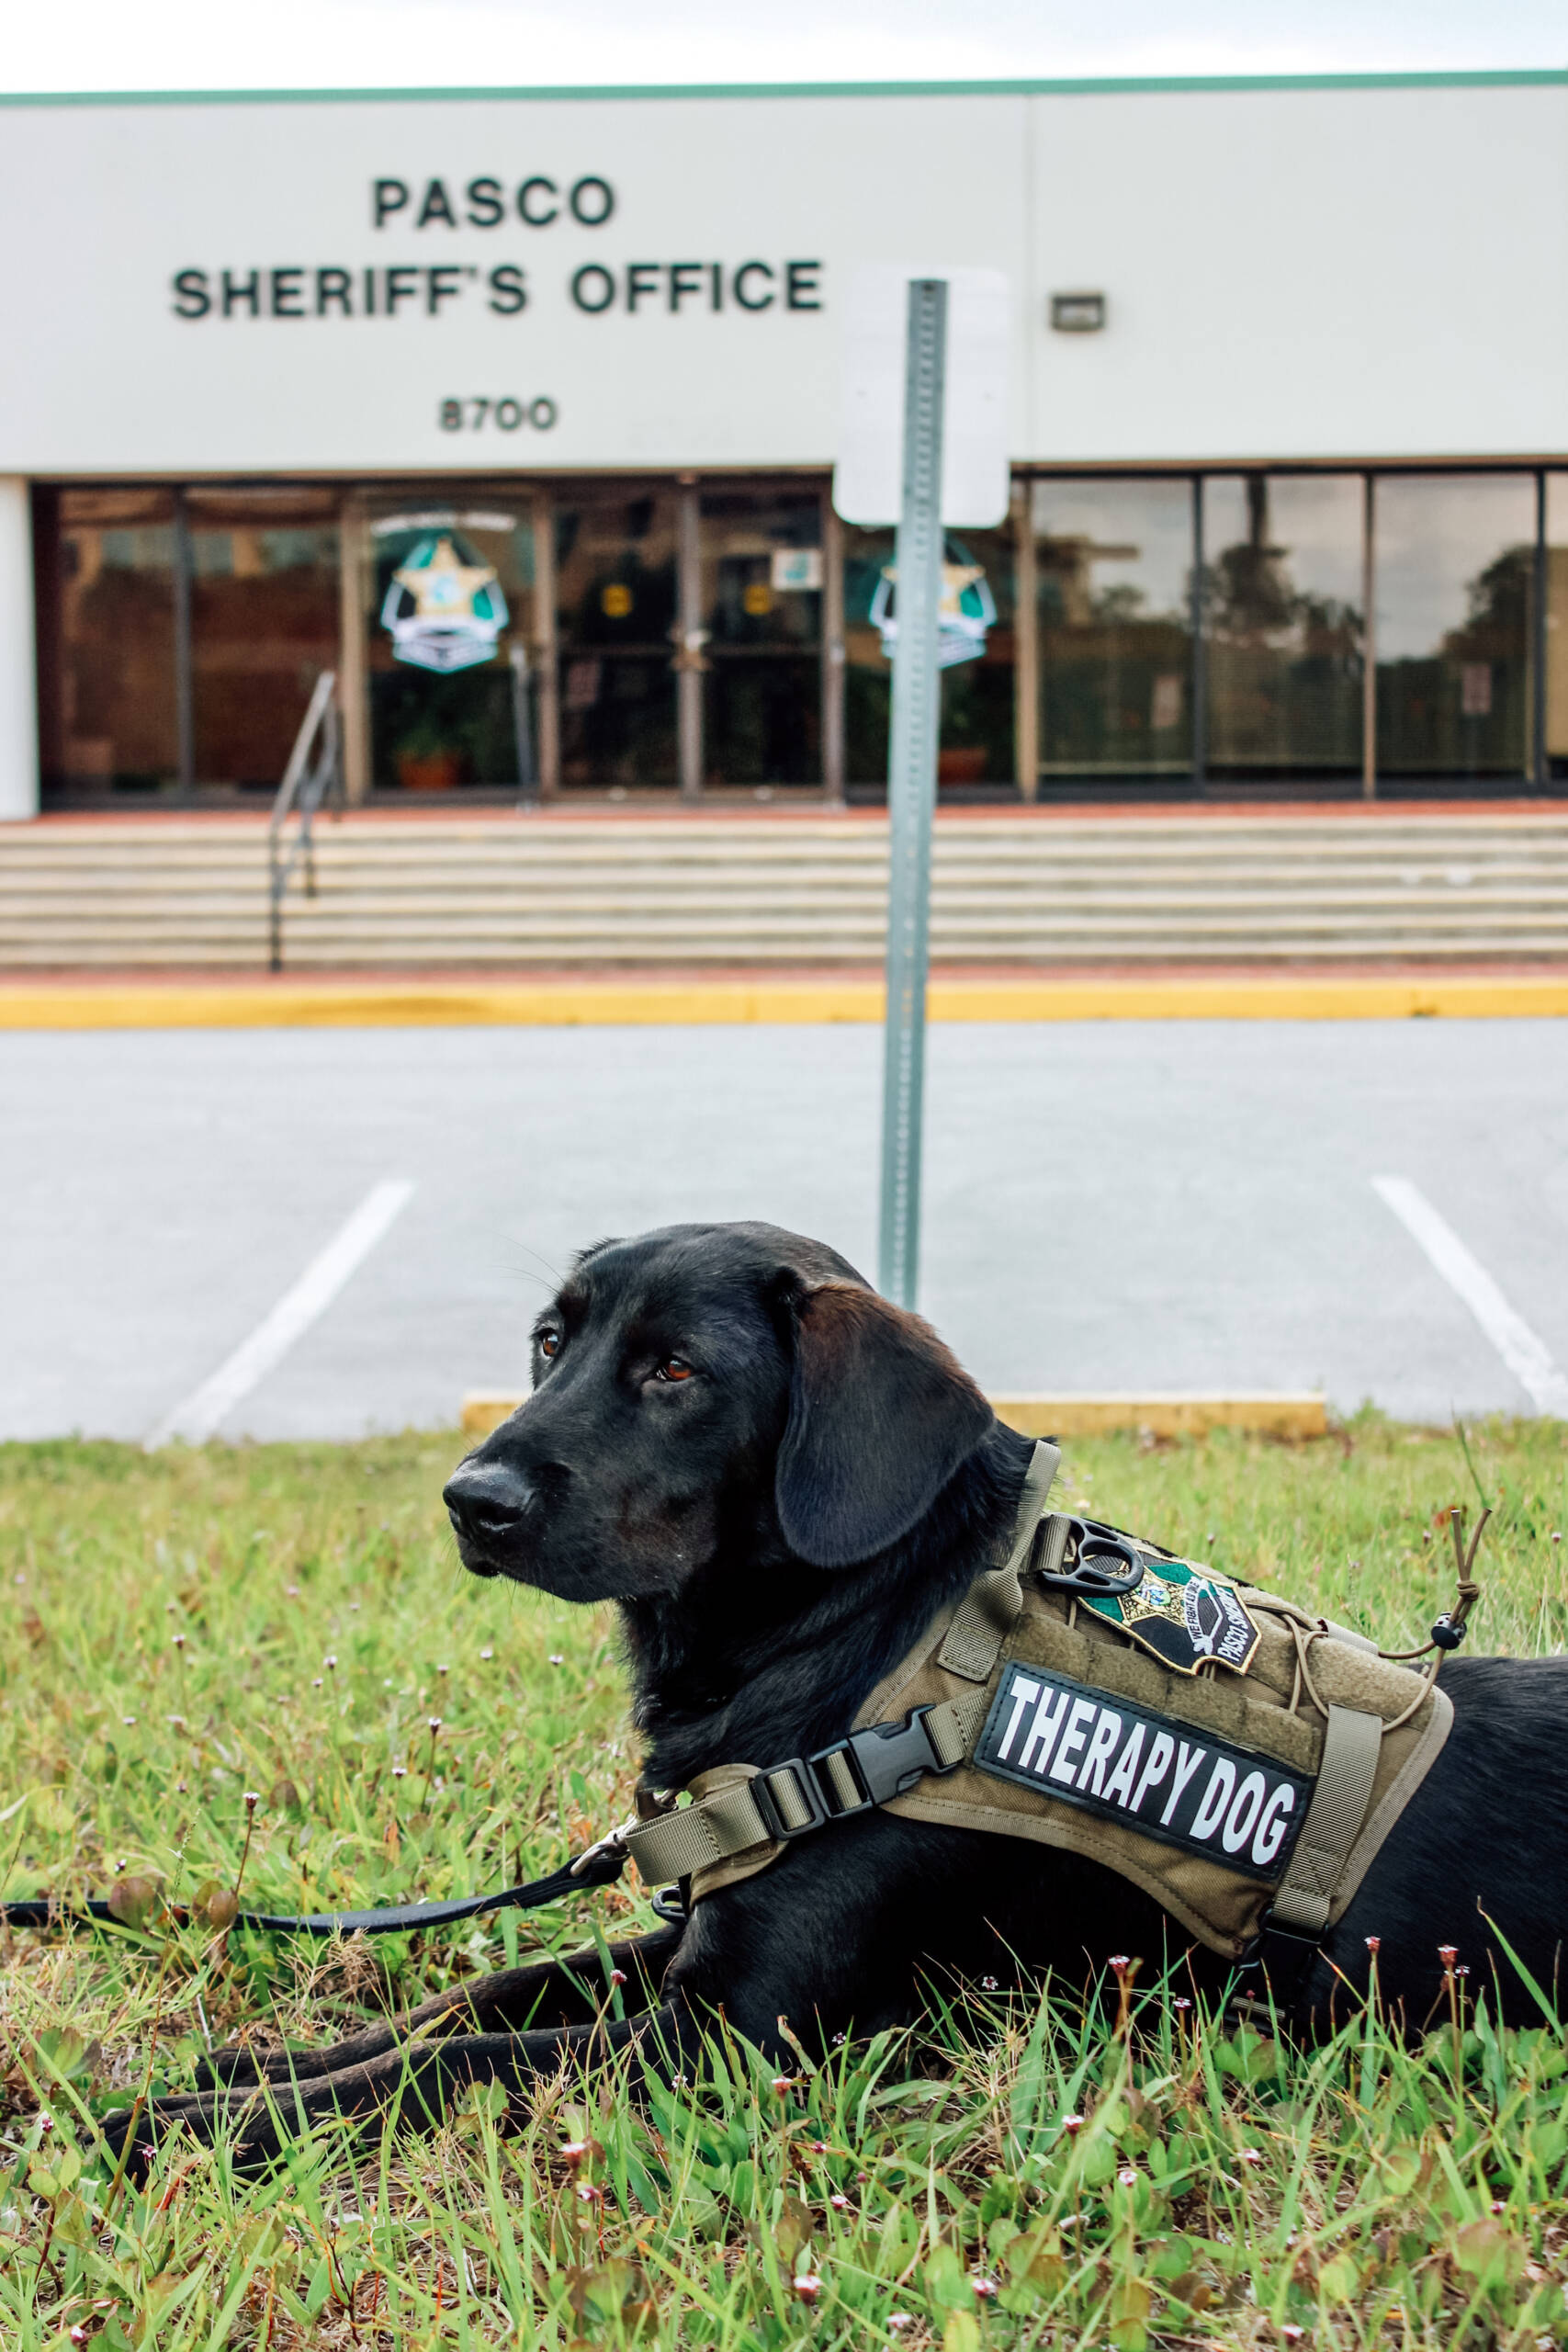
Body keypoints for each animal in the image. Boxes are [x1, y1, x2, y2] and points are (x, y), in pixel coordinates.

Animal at [116, 1232, 1568, 2164]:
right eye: (548, 1342)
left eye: (676, 1371)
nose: (470, 1500)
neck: (852, 1654)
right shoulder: (695, 1944)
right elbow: (478, 1996)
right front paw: (262, 2062)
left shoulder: (732, 2036)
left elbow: (459, 2061)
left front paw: (180, 2126)